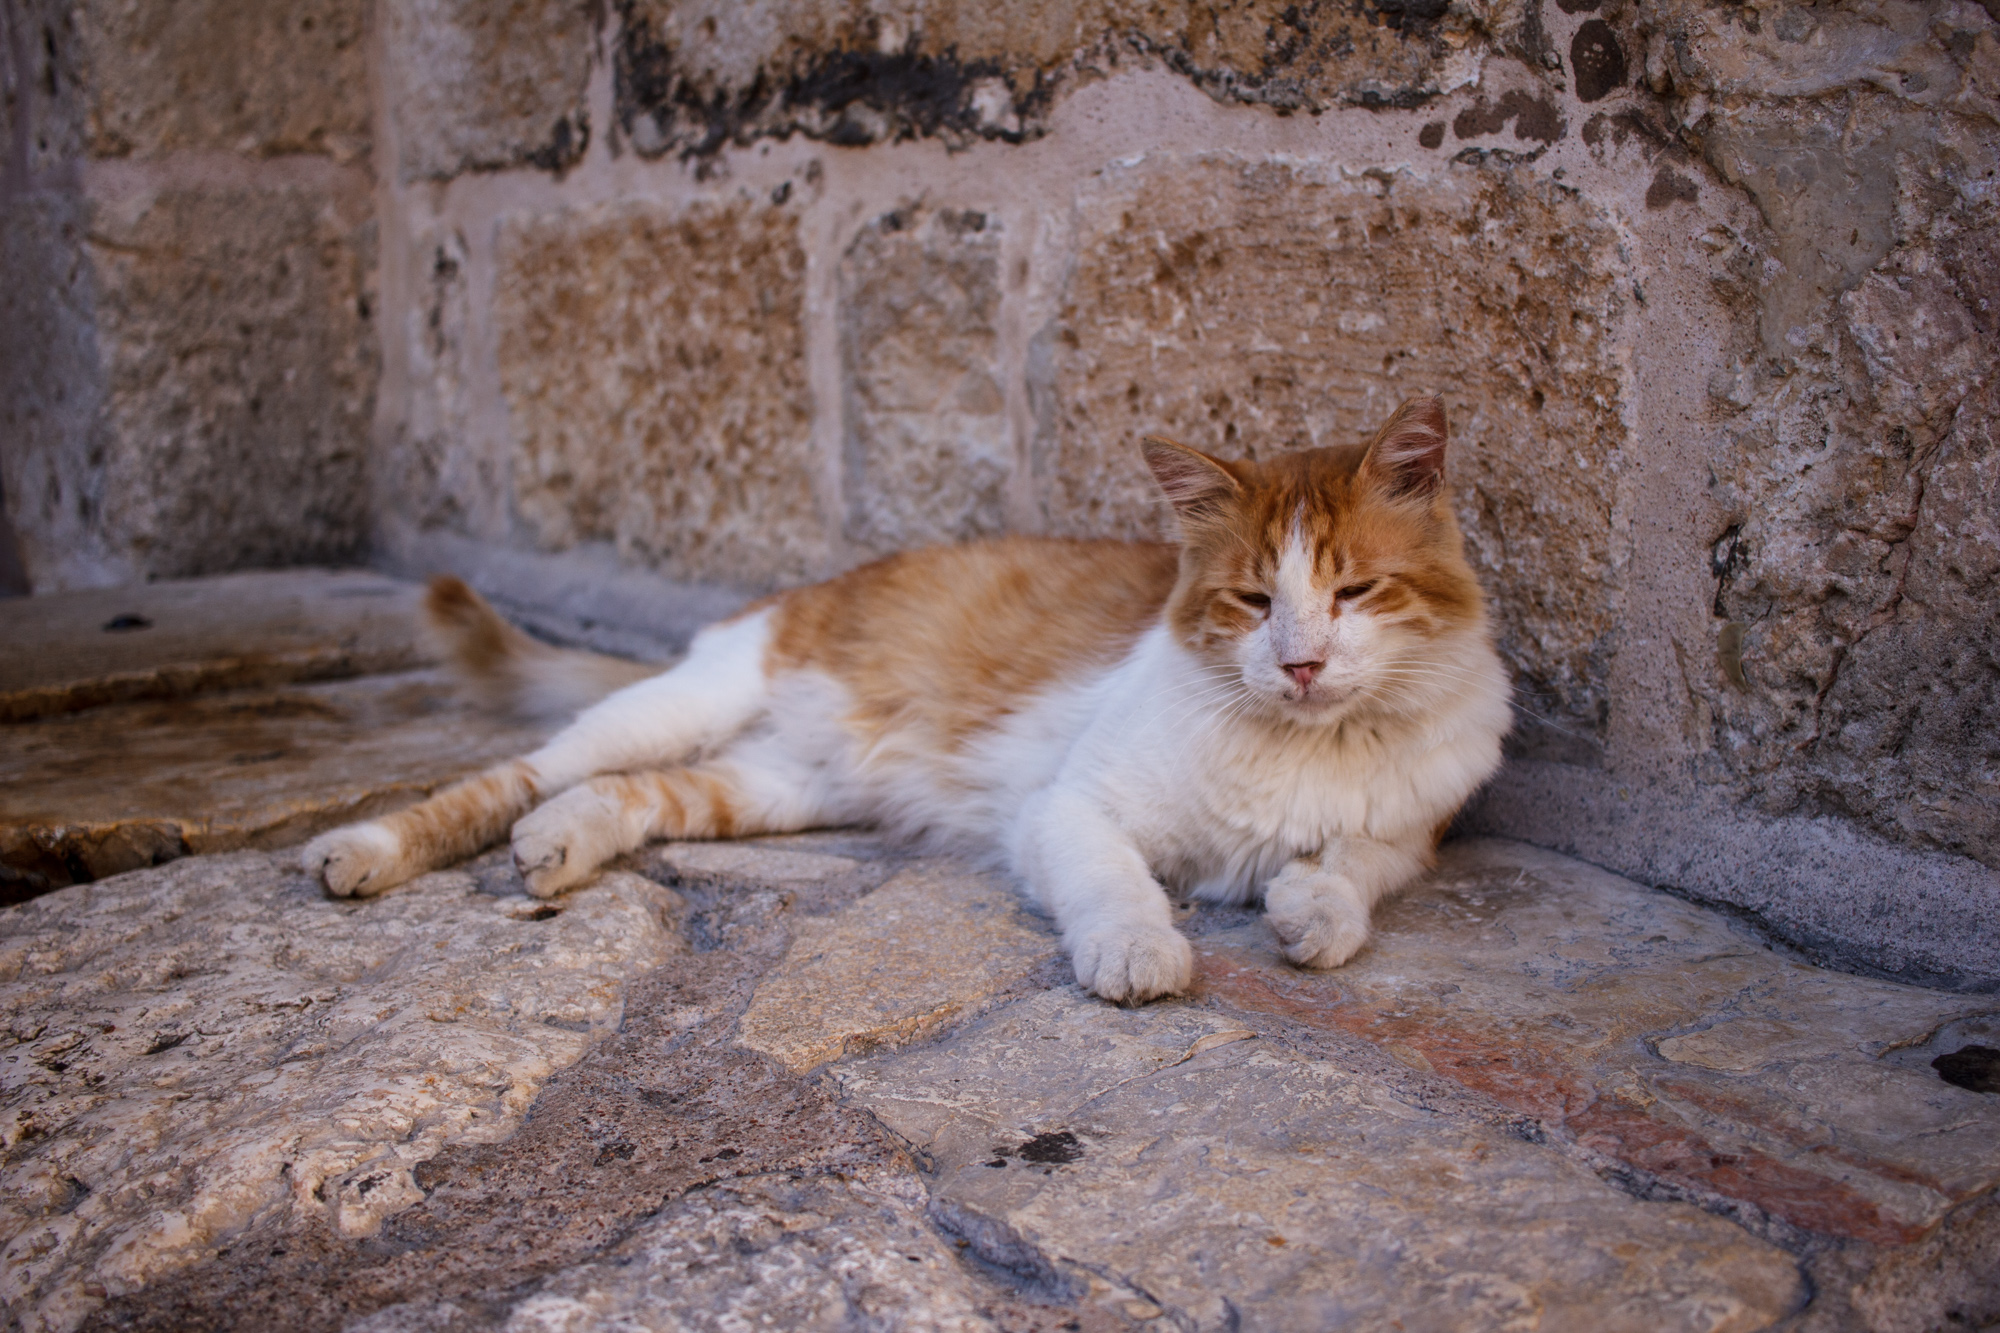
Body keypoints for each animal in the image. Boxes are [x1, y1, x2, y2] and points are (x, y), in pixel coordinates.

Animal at [302, 396, 1511, 1003]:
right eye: (1254, 600)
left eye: (1354, 592)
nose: (1300, 662)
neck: (1310, 741)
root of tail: (810, 588)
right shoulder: (1068, 808)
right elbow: (1119, 886)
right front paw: (1139, 950)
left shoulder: (1412, 830)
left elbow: (1354, 870)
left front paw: (1311, 909)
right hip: (684, 701)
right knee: (516, 774)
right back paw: (362, 851)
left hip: (778, 786)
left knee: (634, 794)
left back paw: (558, 842)